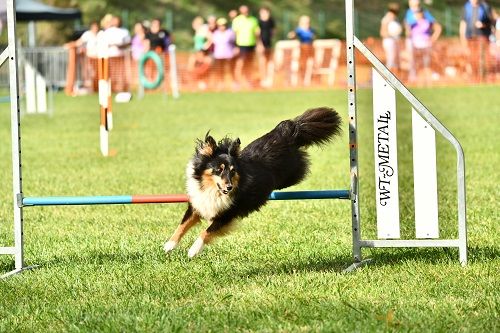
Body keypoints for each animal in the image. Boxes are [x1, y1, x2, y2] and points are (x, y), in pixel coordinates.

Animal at [162, 107, 342, 256]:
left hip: (292, 173)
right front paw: (169, 245)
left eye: (233, 171)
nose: (229, 187)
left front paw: (193, 250)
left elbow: (206, 231)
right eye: (219, 169)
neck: (213, 191)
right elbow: (182, 225)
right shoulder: (198, 204)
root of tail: (286, 130)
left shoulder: (227, 215)